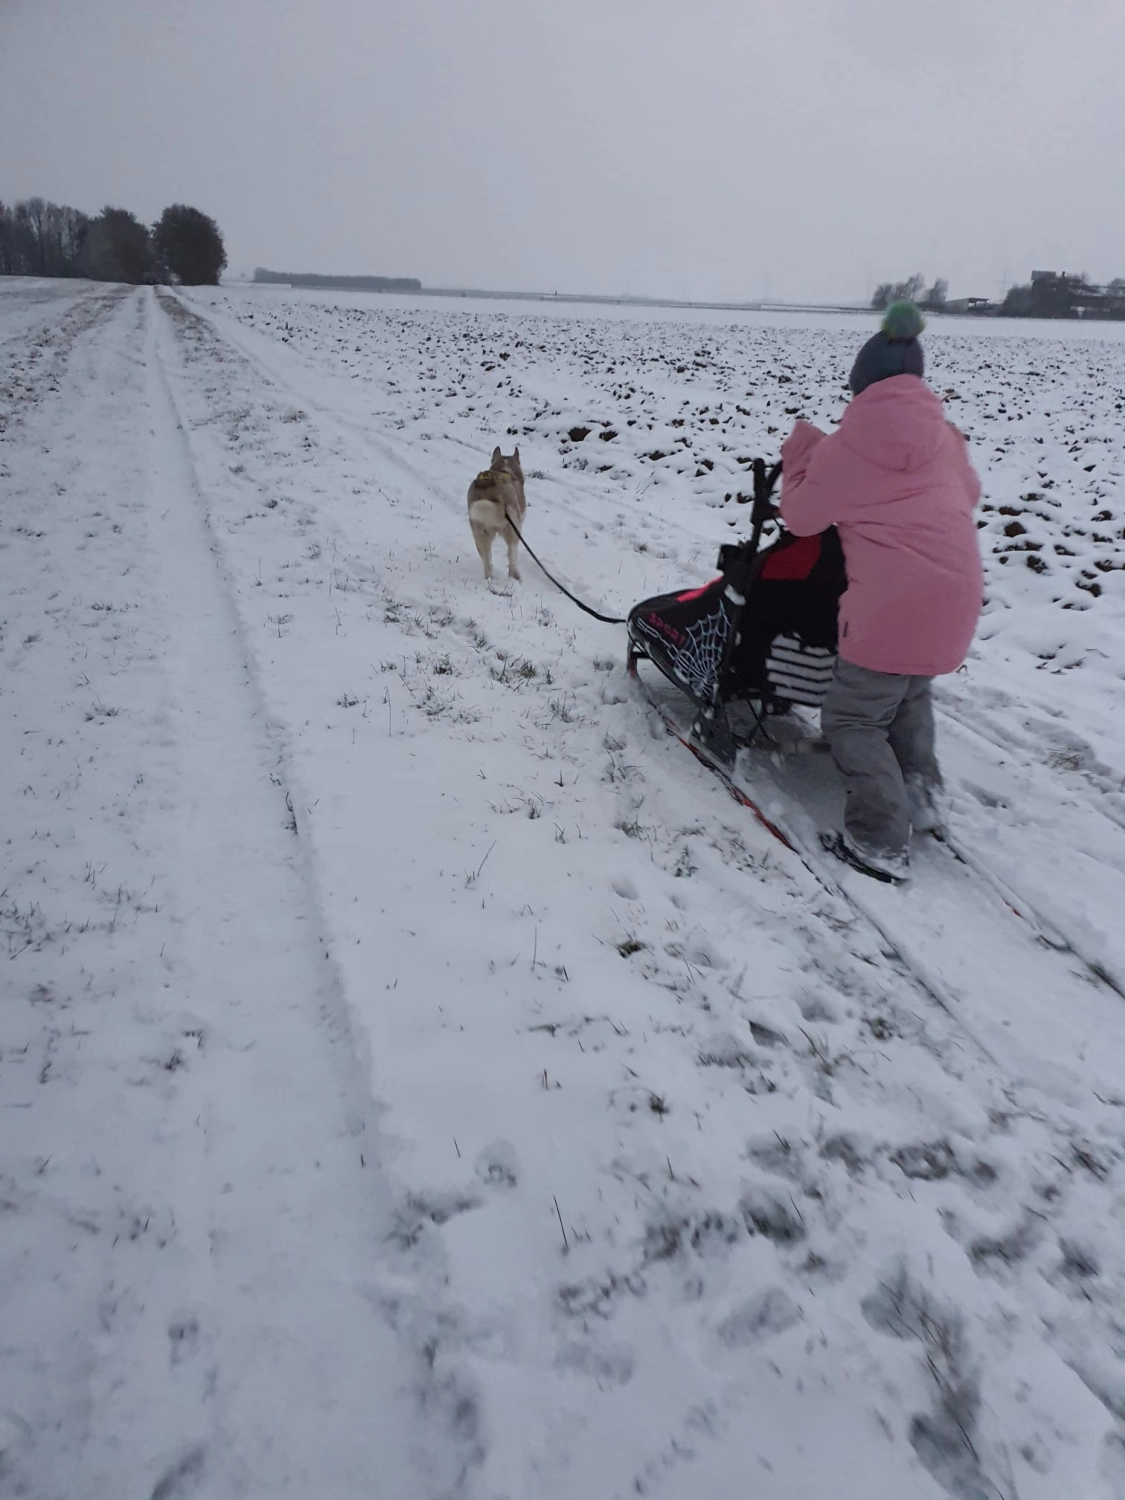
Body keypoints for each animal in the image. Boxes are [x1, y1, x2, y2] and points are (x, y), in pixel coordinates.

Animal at [468, 444, 528, 579]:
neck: (505, 470)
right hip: (513, 529)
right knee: (512, 557)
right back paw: (515, 576)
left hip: (479, 533)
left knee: (487, 561)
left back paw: (489, 578)